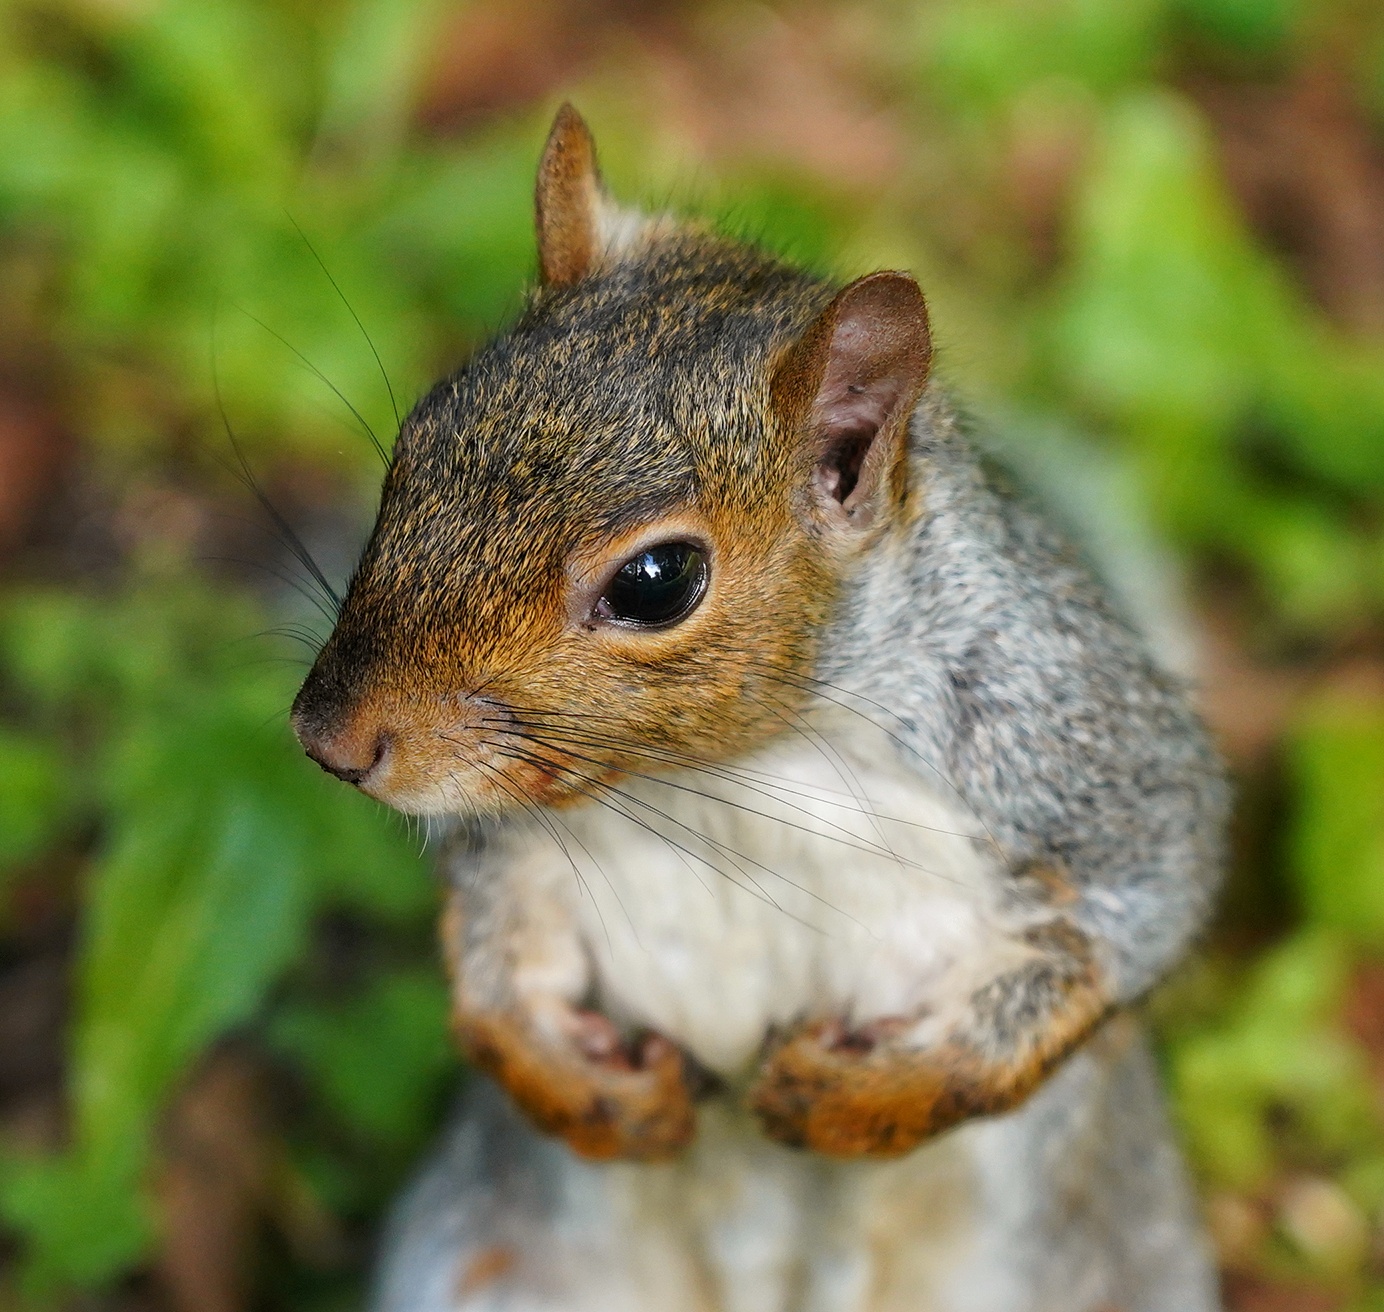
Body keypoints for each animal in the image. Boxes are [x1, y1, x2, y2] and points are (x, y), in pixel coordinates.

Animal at [291, 105, 1229, 1312]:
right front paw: (593, 1097)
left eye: (658, 582)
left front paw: (850, 1099)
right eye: (414, 445)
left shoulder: (1067, 748)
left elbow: (1128, 924)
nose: (331, 739)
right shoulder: (517, 849)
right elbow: (496, 968)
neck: (730, 776)